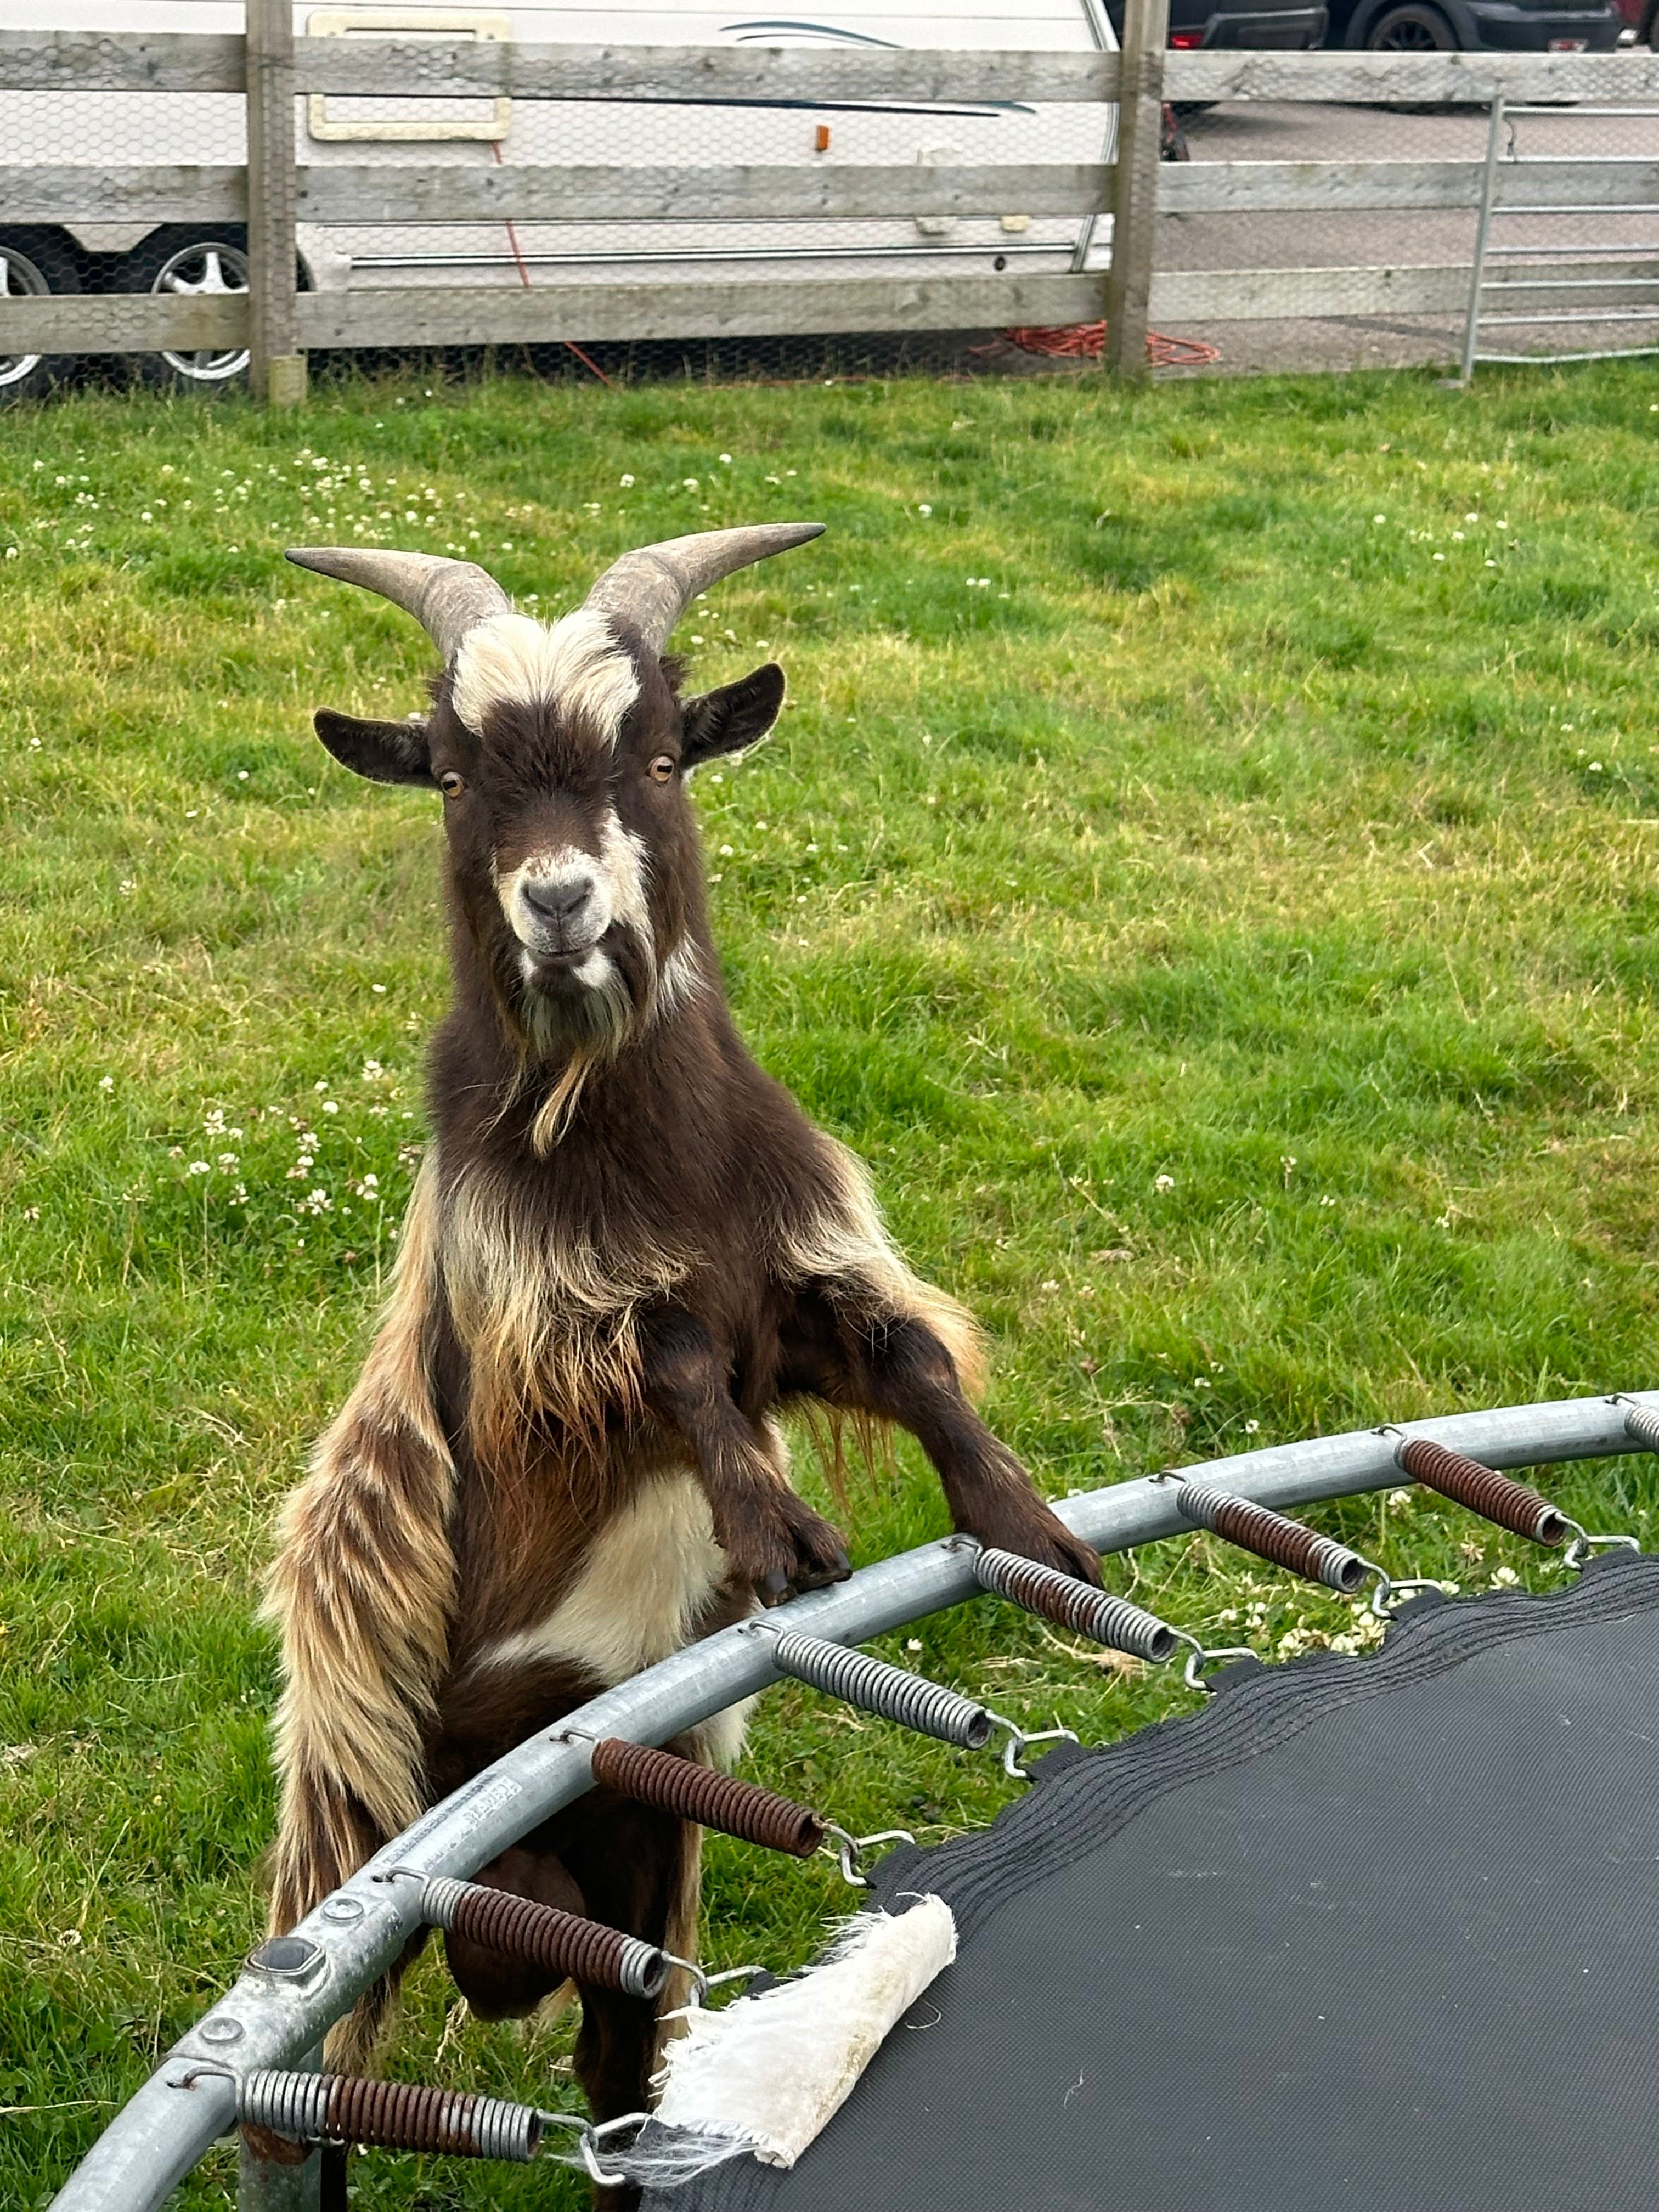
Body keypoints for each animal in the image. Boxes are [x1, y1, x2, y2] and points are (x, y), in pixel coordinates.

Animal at [266, 523, 1101, 2141]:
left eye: (658, 758)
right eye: (452, 776)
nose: (560, 901)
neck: (659, 1161)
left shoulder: (792, 1282)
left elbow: (902, 1355)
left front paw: (1028, 1523)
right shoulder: (537, 1344)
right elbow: (672, 1359)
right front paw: (779, 1529)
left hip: (641, 1856)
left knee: (619, 2062)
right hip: (377, 1850)